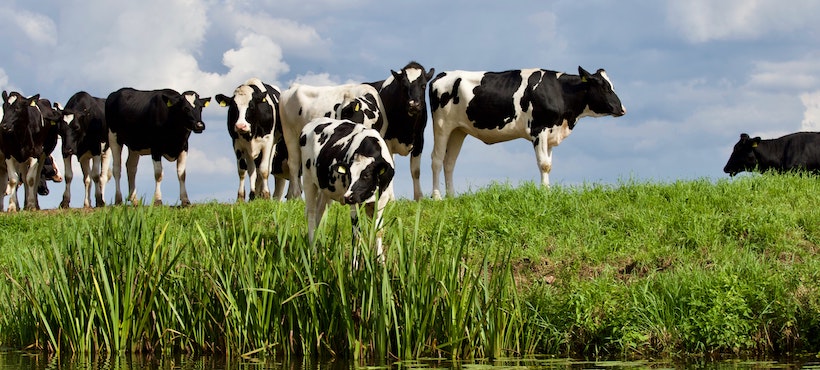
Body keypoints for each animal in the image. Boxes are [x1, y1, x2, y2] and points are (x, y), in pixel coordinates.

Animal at [300, 118, 396, 260]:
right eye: (349, 175)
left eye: (366, 175)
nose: (347, 197)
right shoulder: (354, 205)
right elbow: (356, 235)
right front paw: (354, 265)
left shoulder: (380, 203)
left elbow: (378, 231)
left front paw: (380, 262)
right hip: (308, 180)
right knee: (311, 214)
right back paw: (313, 251)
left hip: (326, 190)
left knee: (320, 214)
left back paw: (321, 250)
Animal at [366, 61, 436, 199]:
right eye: (404, 86)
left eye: (423, 85)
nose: (414, 104)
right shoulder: (387, 140)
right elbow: (390, 167)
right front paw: (390, 198)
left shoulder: (420, 139)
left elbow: (416, 171)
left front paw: (419, 197)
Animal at [426, 66, 624, 199]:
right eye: (605, 87)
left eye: (612, 85)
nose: (622, 109)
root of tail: (441, 75)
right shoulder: (539, 129)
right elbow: (544, 164)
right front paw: (545, 193)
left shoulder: (550, 133)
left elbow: (549, 164)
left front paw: (547, 190)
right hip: (442, 125)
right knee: (436, 159)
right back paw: (437, 197)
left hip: (458, 130)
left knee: (449, 162)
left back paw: (451, 197)